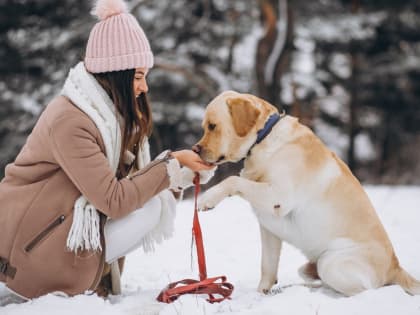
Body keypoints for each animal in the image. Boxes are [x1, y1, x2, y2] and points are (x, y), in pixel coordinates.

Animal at [196, 90, 420, 296]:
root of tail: (395, 267)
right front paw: (261, 294)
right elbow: (267, 266)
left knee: (363, 291)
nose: (195, 149)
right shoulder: (268, 229)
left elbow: (233, 180)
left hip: (331, 263)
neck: (264, 139)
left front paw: (207, 199)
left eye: (213, 126)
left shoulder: (279, 197)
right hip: (312, 265)